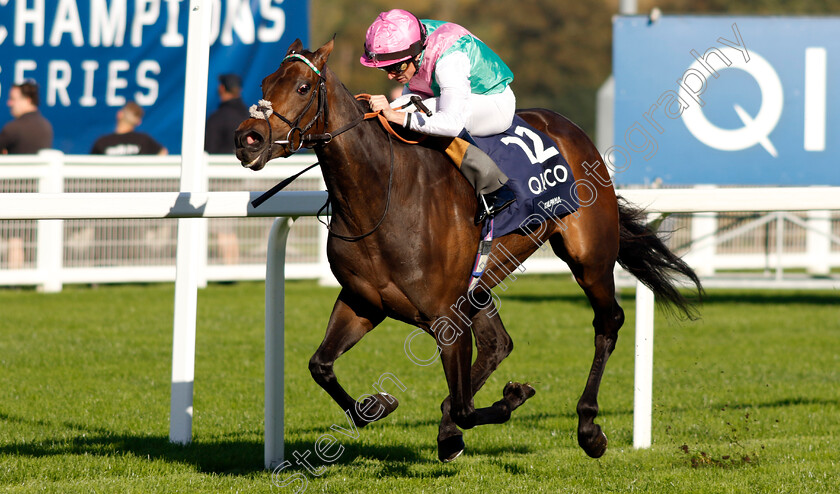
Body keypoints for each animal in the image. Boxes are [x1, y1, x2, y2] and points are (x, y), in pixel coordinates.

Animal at [233, 39, 700, 464]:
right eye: (265, 83)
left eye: (304, 87)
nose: (247, 139)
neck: (380, 194)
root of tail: (572, 131)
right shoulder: (364, 301)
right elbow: (321, 365)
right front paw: (378, 405)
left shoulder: (445, 315)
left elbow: (465, 406)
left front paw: (512, 397)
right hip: (483, 276)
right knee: (497, 343)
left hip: (588, 256)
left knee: (607, 321)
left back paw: (588, 429)